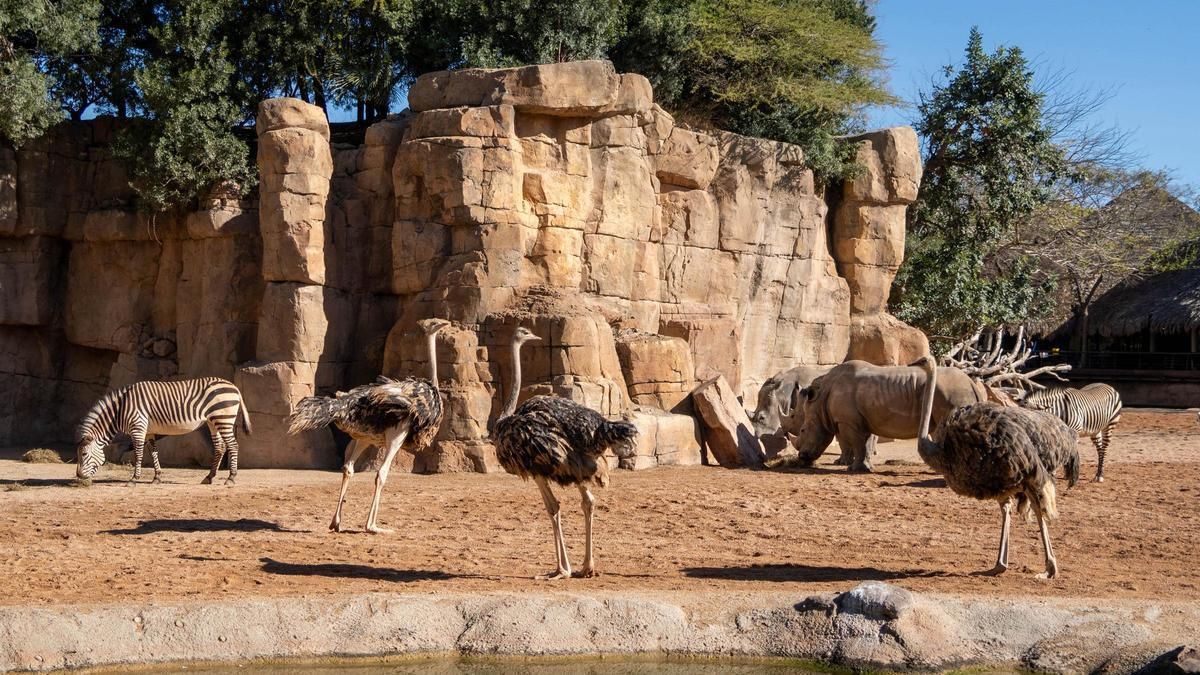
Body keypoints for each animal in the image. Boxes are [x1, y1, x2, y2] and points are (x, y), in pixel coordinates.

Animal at [75, 379, 253, 482]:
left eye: (83, 454)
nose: (78, 476)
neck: (120, 410)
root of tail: (234, 387)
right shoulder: (148, 430)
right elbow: (153, 452)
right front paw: (157, 477)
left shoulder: (138, 427)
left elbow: (138, 453)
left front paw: (134, 478)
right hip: (213, 421)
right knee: (220, 447)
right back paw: (209, 477)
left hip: (223, 418)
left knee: (233, 445)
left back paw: (231, 477)